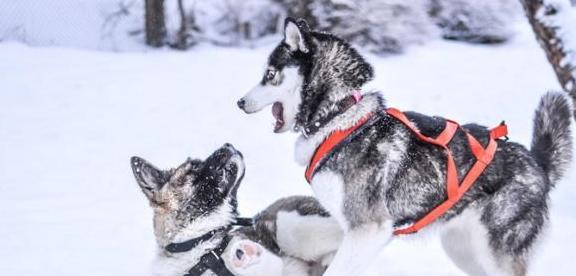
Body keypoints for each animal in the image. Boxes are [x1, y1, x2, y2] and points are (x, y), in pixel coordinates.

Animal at [236, 17, 572, 276]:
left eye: (269, 75)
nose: (239, 102)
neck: (338, 116)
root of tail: (538, 164)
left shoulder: (368, 230)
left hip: (496, 252)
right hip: (462, 249)